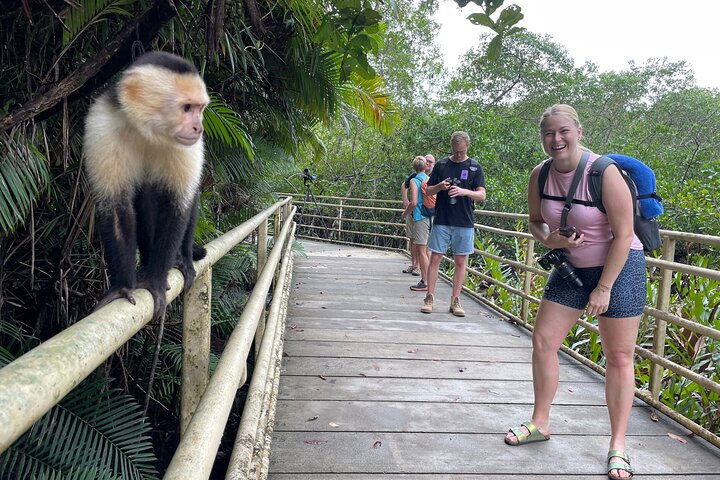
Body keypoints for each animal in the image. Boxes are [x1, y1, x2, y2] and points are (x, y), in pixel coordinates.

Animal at [84, 51, 210, 322]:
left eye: (200, 109)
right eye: (187, 108)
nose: (199, 127)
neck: (148, 130)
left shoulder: (188, 145)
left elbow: (178, 206)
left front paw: (155, 281)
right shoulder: (102, 125)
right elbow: (117, 208)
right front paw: (123, 287)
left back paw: (183, 258)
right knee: (144, 198)